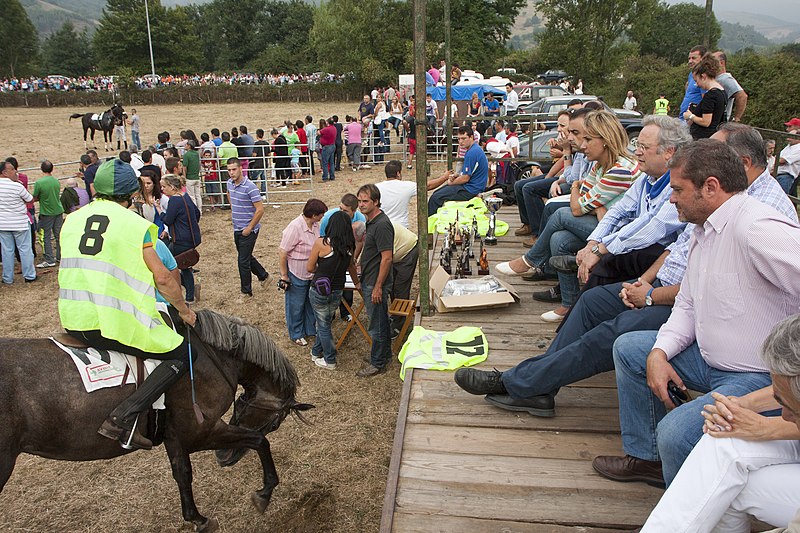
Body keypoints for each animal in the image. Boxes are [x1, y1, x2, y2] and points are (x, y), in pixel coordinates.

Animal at [0, 310, 312, 528]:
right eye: (275, 423)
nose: (223, 457)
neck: (213, 357)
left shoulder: (174, 435)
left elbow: (182, 473)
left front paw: (196, 518)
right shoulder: (200, 432)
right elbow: (259, 441)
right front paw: (265, 492)